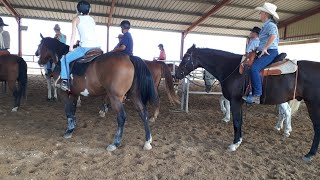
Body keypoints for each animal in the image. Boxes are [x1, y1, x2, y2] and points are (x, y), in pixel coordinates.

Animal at [175, 44, 320, 162]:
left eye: (186, 58)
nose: (176, 75)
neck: (231, 68)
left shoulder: (235, 101)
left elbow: (236, 121)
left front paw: (234, 144)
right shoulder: (237, 101)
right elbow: (238, 120)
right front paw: (238, 139)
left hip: (313, 105)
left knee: (313, 126)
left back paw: (309, 153)